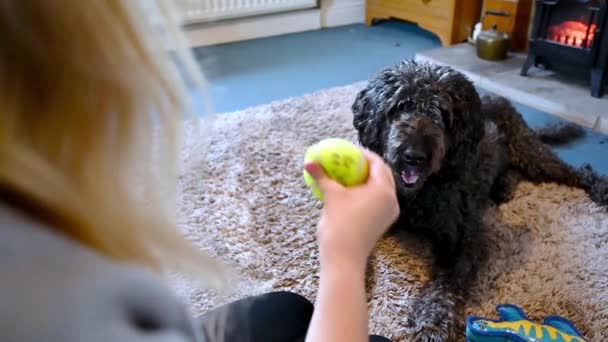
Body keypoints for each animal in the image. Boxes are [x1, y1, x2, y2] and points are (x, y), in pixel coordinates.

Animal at [352, 60, 608, 340]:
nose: (414, 156)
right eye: (400, 106)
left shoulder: (468, 238)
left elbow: (448, 281)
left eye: (442, 113)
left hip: (530, 152)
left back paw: (600, 188)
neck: (421, 193)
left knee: (574, 170)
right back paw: (504, 186)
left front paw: (433, 319)